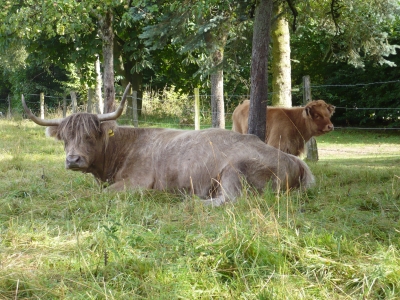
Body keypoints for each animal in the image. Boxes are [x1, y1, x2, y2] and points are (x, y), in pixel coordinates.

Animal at [22, 84, 316, 206]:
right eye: (65, 138)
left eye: (90, 136)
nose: (73, 160)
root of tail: (296, 162)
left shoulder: (135, 182)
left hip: (233, 171)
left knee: (233, 200)